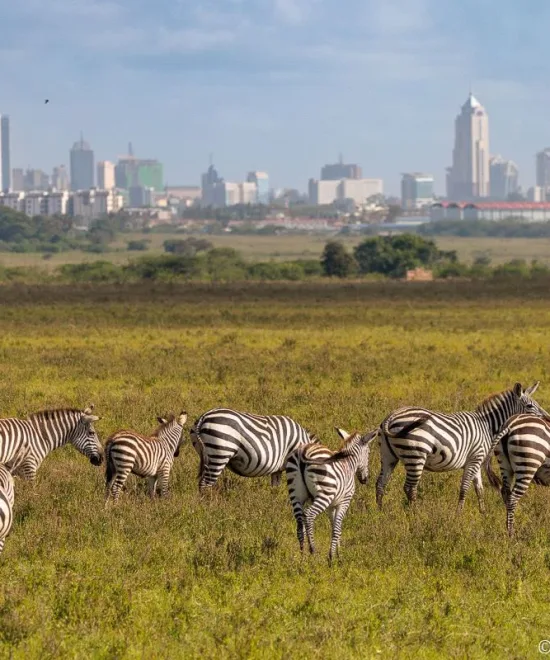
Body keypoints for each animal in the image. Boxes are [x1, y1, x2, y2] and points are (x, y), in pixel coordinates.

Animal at [192, 404, 320, 492]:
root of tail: (204, 417)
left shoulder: (277, 469)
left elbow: (275, 487)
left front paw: (273, 503)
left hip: (205, 454)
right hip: (219, 453)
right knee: (205, 484)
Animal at [286, 430, 378, 564]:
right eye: (369, 453)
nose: (365, 479)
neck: (349, 463)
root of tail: (303, 452)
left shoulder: (332, 506)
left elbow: (334, 526)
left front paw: (338, 554)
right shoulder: (344, 502)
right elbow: (337, 528)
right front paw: (332, 557)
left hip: (296, 495)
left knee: (299, 524)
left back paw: (303, 557)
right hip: (324, 494)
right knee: (309, 514)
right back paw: (313, 551)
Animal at [378, 382, 548, 516]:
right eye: (530, 406)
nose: (548, 419)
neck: (487, 426)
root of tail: (391, 416)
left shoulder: (477, 461)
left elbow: (479, 489)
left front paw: (483, 514)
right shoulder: (474, 459)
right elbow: (465, 488)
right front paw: (458, 515)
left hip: (388, 457)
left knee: (381, 483)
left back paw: (381, 514)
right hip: (415, 455)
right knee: (410, 488)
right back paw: (415, 514)